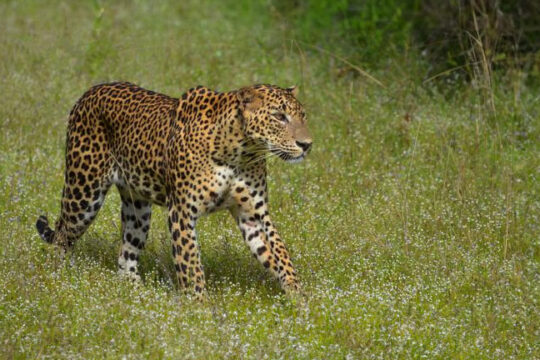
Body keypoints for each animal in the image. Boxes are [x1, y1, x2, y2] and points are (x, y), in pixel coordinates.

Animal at [34, 81, 312, 298]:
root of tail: (91, 91)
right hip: (84, 192)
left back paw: (140, 295)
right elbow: (191, 266)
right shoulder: (181, 211)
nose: (307, 144)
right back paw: (55, 280)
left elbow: (281, 256)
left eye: (303, 116)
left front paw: (302, 304)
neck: (241, 151)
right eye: (279, 116)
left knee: (126, 255)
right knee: (61, 235)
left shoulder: (254, 213)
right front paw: (201, 312)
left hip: (137, 209)